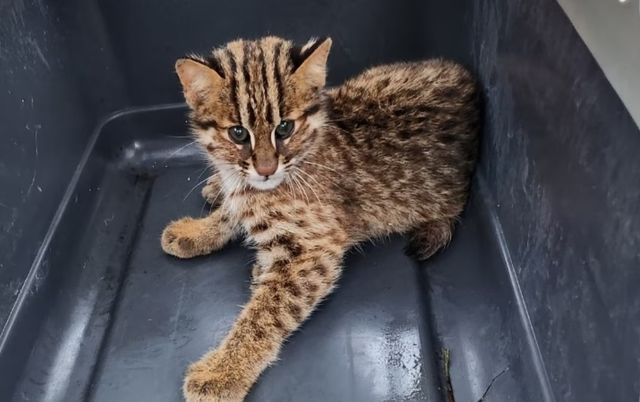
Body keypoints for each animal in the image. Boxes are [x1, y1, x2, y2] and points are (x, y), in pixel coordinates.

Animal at [162, 36, 478, 402]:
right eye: (238, 134)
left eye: (285, 128)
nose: (266, 169)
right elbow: (233, 209)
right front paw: (198, 230)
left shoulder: (315, 250)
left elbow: (266, 312)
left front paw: (222, 372)